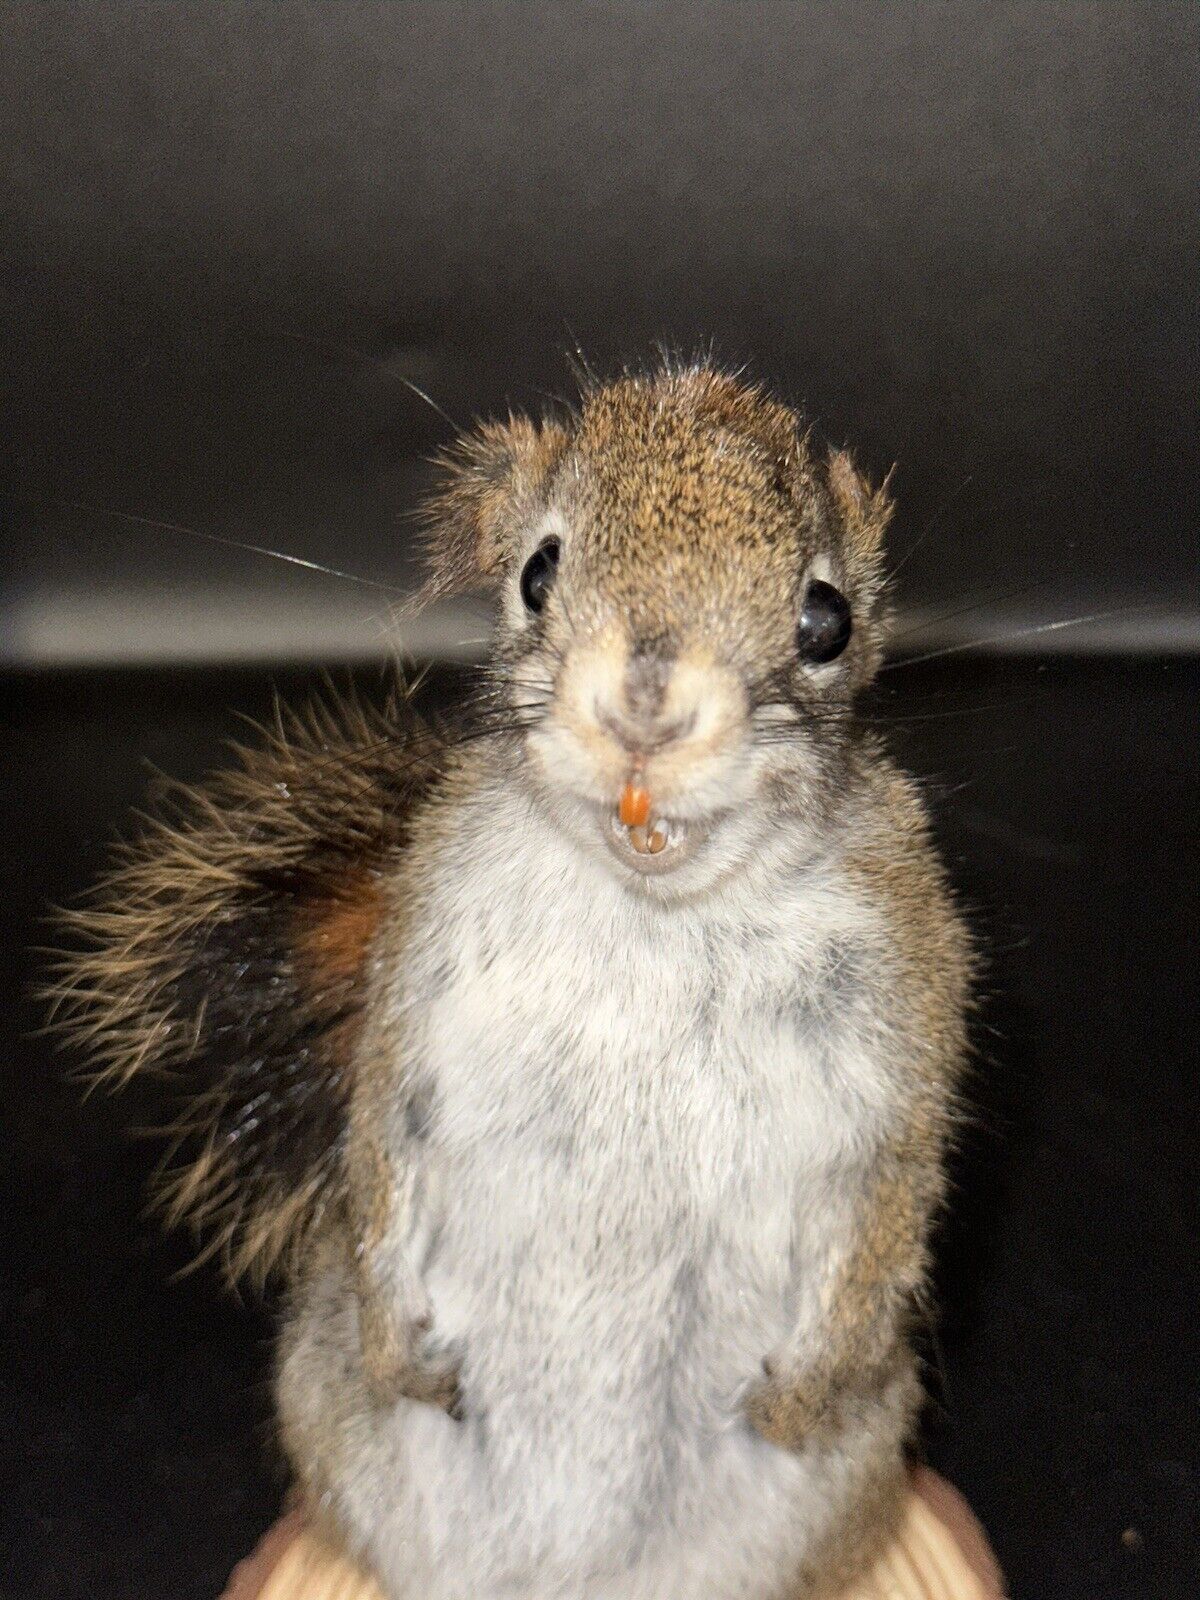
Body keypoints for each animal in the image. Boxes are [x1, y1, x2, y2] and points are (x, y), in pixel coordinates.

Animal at [53, 361, 972, 1600]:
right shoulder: (416, 971)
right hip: (328, 1399)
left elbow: (891, 1201)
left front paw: (800, 1394)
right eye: (537, 572)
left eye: (827, 619)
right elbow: (381, 1138)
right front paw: (404, 1343)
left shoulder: (910, 998)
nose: (645, 706)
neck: (651, 919)